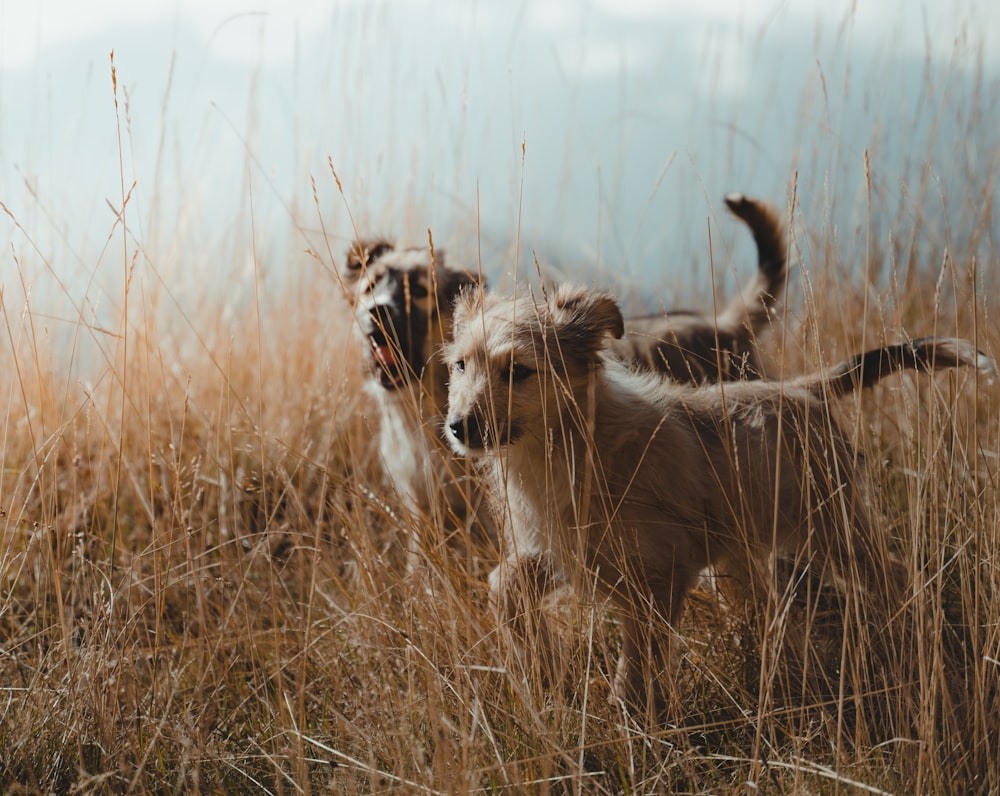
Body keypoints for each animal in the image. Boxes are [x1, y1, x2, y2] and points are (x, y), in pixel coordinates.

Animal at [444, 286, 992, 716]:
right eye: (460, 366)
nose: (457, 427)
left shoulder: (662, 572)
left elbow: (638, 658)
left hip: (830, 529)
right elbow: (504, 585)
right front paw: (544, 667)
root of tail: (798, 389)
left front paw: (631, 719)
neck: (571, 442)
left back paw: (910, 634)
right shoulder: (568, 550)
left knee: (892, 573)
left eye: (518, 371)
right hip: (743, 554)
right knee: (774, 611)